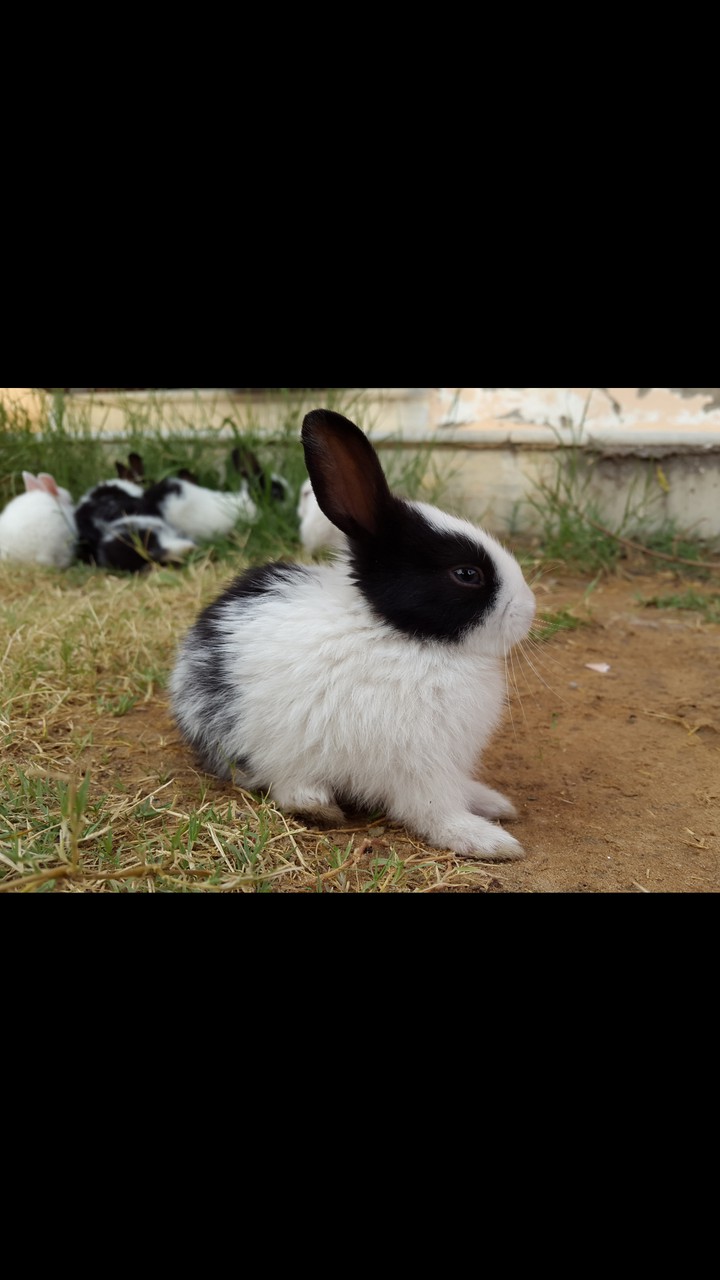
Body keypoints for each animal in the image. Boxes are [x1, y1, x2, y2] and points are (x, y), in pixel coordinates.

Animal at [170, 408, 537, 861]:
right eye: (467, 574)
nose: (529, 610)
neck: (396, 633)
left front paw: (491, 803)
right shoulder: (421, 764)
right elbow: (435, 810)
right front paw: (488, 841)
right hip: (262, 745)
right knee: (279, 780)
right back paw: (316, 805)